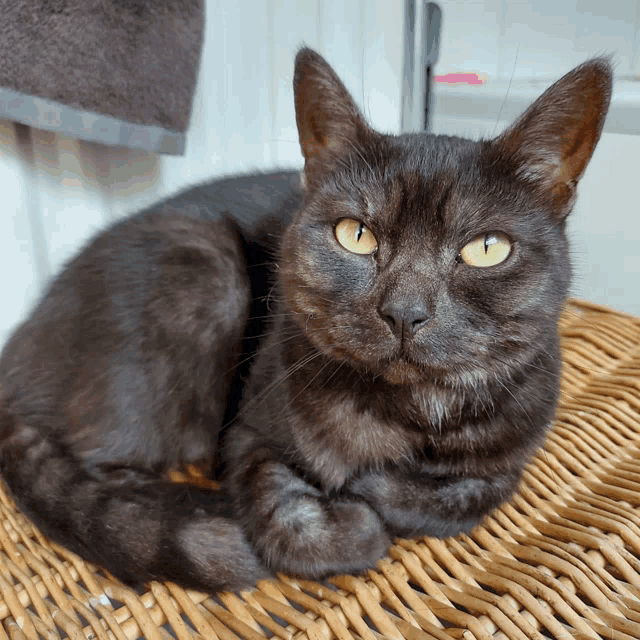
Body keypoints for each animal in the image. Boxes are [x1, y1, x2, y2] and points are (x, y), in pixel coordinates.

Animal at [0, 47, 612, 592]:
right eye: (356, 235)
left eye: (487, 249)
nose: (405, 312)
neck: (410, 414)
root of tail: (19, 345)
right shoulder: (247, 433)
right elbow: (288, 507)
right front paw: (355, 522)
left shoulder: (515, 445)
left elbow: (472, 492)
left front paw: (379, 488)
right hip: (206, 266)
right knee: (98, 471)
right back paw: (190, 514)